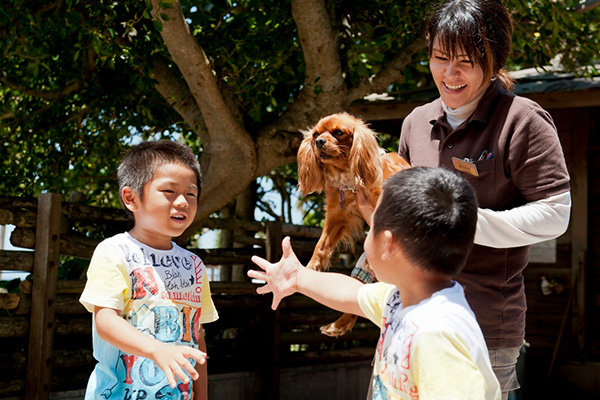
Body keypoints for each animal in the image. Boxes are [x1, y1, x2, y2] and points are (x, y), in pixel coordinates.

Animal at [298, 112, 410, 338]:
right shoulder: (337, 216)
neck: (348, 178)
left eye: (339, 132)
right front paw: (311, 267)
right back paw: (339, 324)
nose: (319, 141)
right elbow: (320, 246)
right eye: (315, 134)